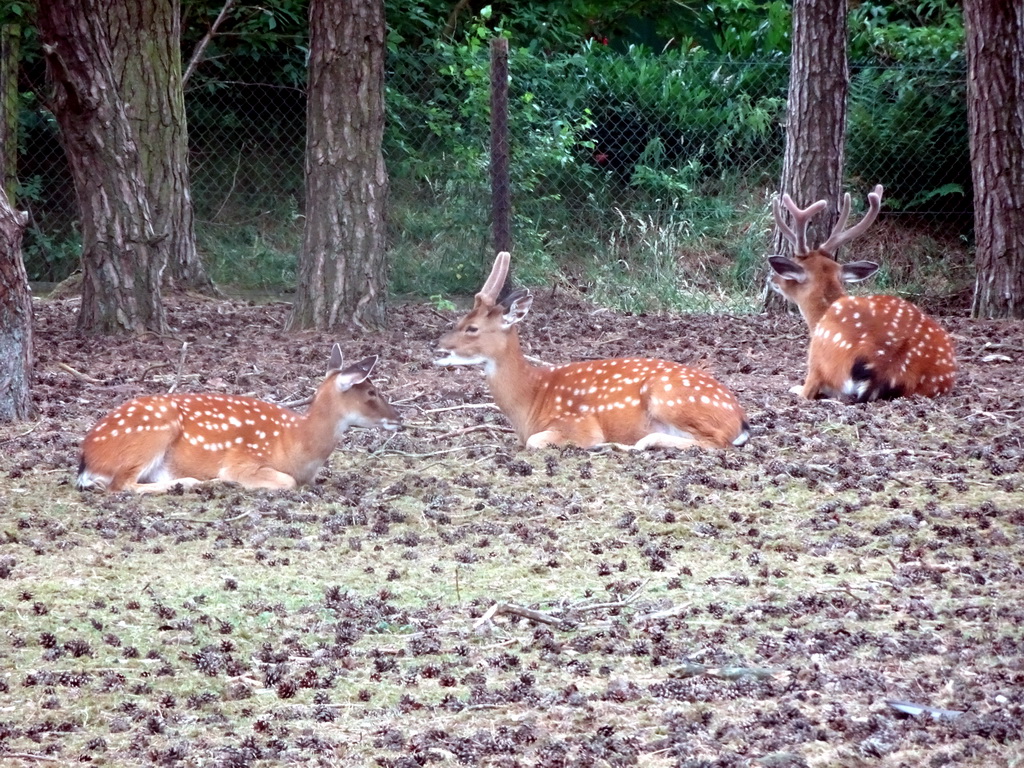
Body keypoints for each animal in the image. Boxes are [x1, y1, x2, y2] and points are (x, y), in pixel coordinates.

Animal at [75, 342, 401, 493]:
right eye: (371, 392)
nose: (399, 418)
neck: (296, 445)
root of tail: (88, 458)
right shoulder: (242, 461)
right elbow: (285, 481)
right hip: (152, 434)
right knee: (121, 485)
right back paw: (192, 482)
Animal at [434, 252, 753, 454]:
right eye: (459, 320)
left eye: (472, 328)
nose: (436, 346)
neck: (531, 402)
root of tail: (739, 418)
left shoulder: (578, 423)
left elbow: (536, 442)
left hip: (670, 396)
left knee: (717, 442)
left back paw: (637, 443)